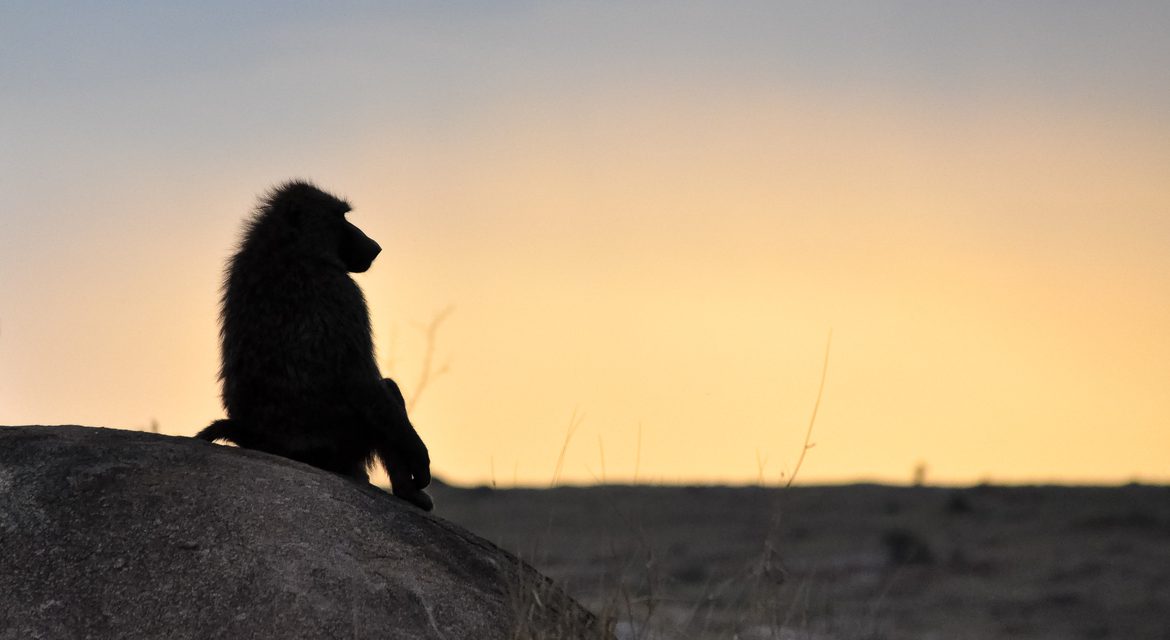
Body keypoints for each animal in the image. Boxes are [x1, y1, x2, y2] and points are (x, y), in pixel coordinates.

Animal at [196, 181, 432, 511]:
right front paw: (420, 459)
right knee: (385, 392)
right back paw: (407, 491)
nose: (375, 246)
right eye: (341, 216)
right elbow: (362, 380)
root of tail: (252, 436)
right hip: (340, 439)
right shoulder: (343, 290)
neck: (285, 245)